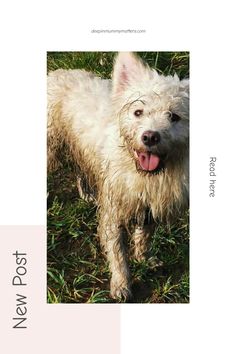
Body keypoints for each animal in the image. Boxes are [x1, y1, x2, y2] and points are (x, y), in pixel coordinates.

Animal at [47, 52, 189, 300]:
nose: (150, 137)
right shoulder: (114, 212)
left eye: (174, 116)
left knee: (80, 169)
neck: (141, 172)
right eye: (138, 112)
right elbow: (118, 254)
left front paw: (144, 258)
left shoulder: (148, 205)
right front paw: (121, 284)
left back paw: (86, 193)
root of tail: (57, 72)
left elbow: (145, 236)